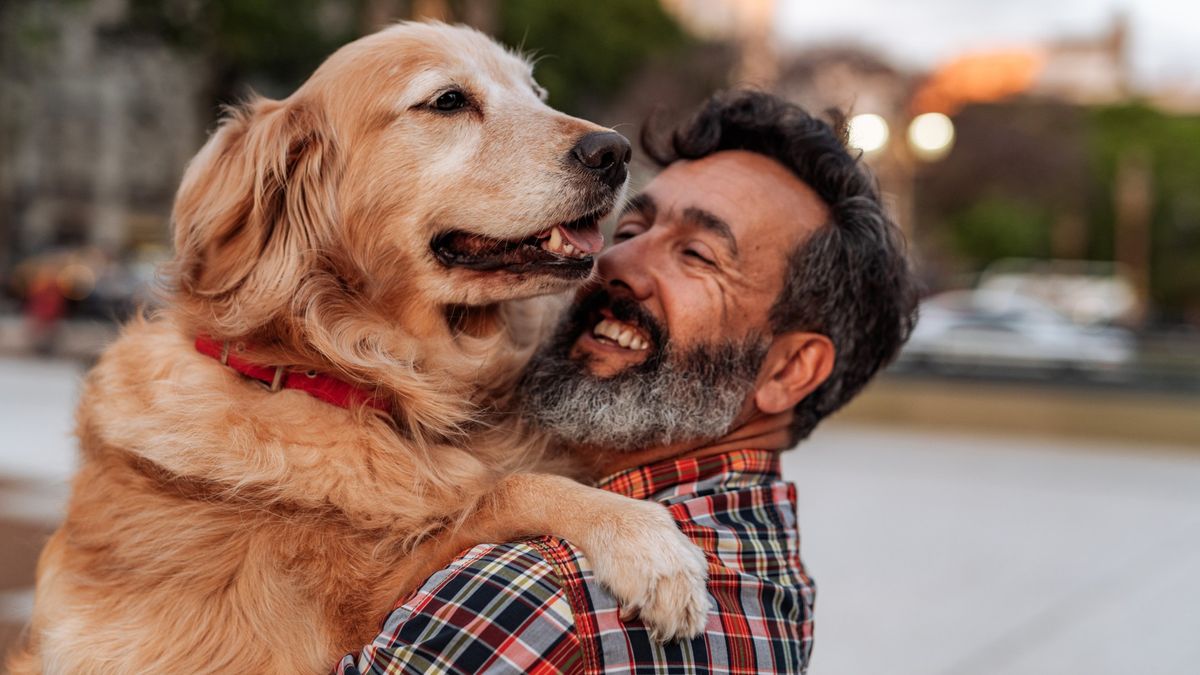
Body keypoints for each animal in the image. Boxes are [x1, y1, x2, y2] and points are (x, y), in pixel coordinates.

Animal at [9, 21, 705, 672]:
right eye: (448, 101)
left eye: (536, 94)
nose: (614, 150)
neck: (346, 377)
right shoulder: (311, 637)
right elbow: (505, 492)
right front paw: (650, 545)